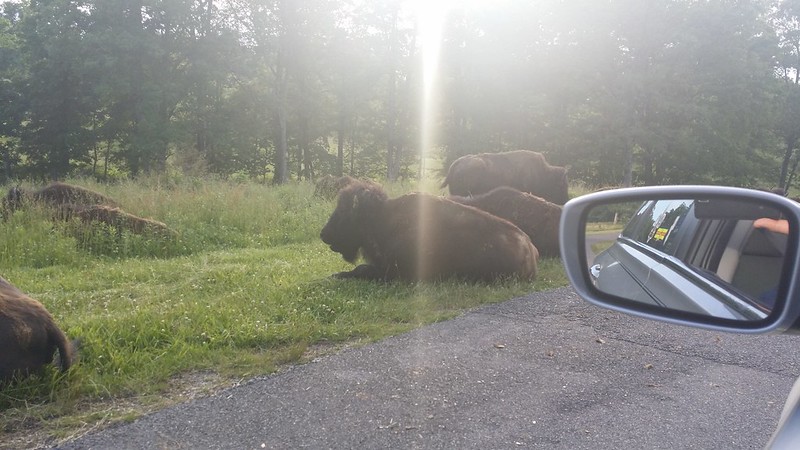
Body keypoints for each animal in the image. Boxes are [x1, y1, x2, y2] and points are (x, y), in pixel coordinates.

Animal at [318, 180, 536, 282]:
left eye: (344, 212)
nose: (324, 234)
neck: (383, 219)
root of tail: (530, 249)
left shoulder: (396, 274)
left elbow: (361, 269)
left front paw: (334, 276)